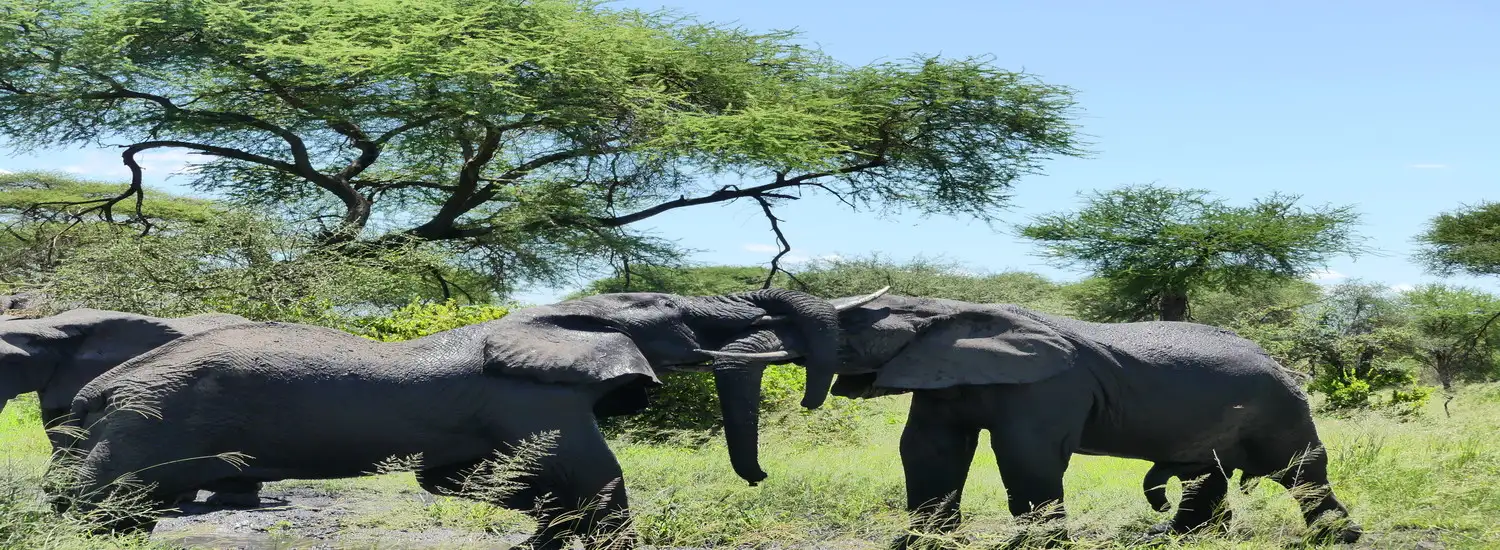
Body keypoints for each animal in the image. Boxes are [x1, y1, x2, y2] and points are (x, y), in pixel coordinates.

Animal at [55, 288, 885, 550]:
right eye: (680, 320)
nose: (760, 475)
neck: (560, 315)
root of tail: (96, 391)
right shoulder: (535, 400)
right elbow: (598, 482)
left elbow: (458, 481)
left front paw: (534, 541)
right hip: (150, 424)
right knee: (107, 503)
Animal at [702, 295, 1363, 547]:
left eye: (851, 326)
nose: (758, 477)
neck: (949, 311)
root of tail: (1281, 360)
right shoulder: (944, 380)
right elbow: (927, 451)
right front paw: (920, 544)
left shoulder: (1046, 387)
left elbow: (1027, 456)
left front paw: (1040, 548)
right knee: (1209, 473)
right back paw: (1177, 539)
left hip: (1280, 406)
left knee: (1300, 469)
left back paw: (1340, 538)